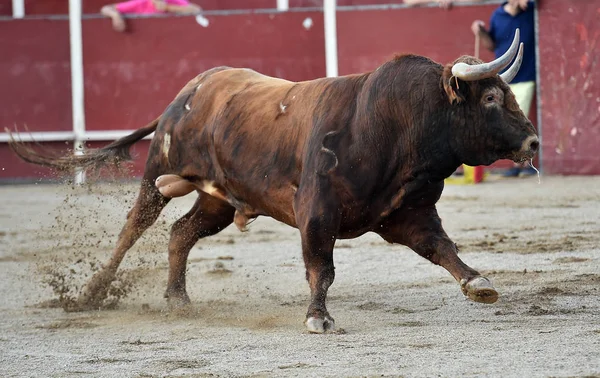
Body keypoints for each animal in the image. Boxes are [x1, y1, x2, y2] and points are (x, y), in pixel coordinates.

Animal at [9, 29, 536, 332]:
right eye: (491, 97)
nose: (532, 142)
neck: (388, 123)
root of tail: (189, 89)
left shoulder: (407, 213)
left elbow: (441, 248)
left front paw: (479, 284)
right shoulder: (316, 213)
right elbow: (321, 267)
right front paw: (318, 318)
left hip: (219, 201)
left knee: (181, 233)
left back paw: (178, 299)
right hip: (157, 170)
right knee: (133, 226)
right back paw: (91, 294)